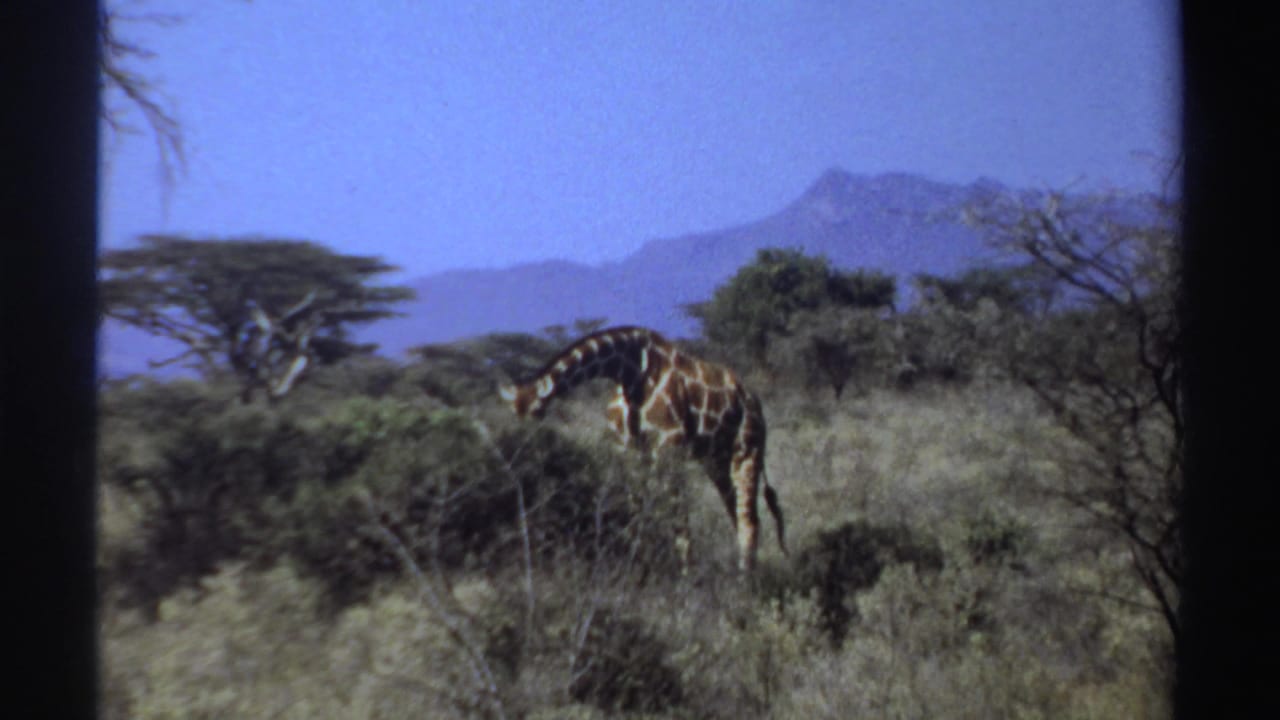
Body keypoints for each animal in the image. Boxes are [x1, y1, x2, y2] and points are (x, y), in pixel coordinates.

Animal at [498, 326, 786, 572]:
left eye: (535, 412)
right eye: (513, 412)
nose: (522, 448)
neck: (629, 371)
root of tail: (753, 400)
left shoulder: (669, 448)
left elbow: (679, 520)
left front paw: (687, 576)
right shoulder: (629, 453)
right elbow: (637, 516)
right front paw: (640, 570)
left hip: (747, 450)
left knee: (750, 519)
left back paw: (745, 580)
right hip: (717, 459)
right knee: (737, 513)